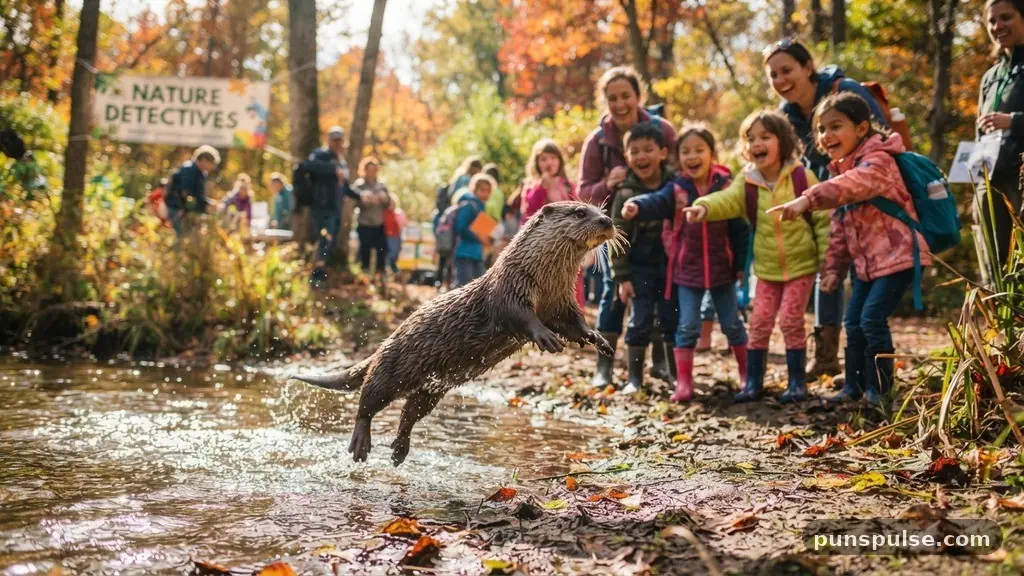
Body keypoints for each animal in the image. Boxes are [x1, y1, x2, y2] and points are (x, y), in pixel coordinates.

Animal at [292, 201, 620, 466]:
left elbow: (573, 324)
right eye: (580, 212)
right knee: (368, 401)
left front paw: (599, 340)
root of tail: (384, 343)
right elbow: (520, 316)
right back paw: (361, 444)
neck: (541, 278)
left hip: (430, 391)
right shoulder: (510, 288)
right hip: (391, 369)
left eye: (600, 209)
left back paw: (399, 451)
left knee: (410, 413)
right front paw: (545, 337)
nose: (607, 220)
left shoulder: (561, 302)